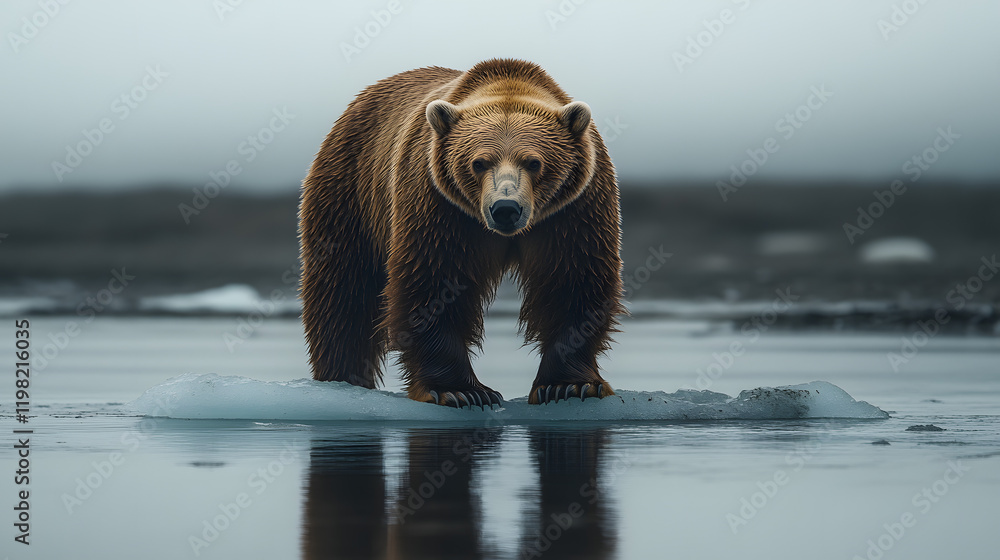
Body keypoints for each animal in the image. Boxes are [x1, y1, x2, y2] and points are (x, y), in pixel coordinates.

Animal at [299, 58, 624, 408]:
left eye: (534, 162)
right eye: (479, 162)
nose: (505, 208)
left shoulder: (573, 209)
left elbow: (573, 279)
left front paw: (568, 385)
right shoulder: (440, 205)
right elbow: (434, 282)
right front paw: (459, 390)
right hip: (351, 190)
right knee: (343, 291)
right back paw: (341, 378)